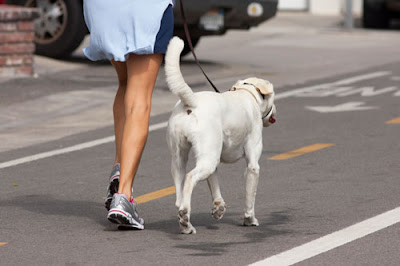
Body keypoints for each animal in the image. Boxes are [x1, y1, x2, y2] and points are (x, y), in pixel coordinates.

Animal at [164, 36, 276, 234]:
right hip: (206, 159)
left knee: (179, 194)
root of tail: (191, 102)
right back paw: (185, 219)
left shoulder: (214, 159)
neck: (248, 94)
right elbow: (250, 197)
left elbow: (214, 184)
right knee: (190, 178)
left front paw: (218, 207)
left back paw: (185, 224)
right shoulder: (253, 165)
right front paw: (249, 219)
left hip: (182, 158)